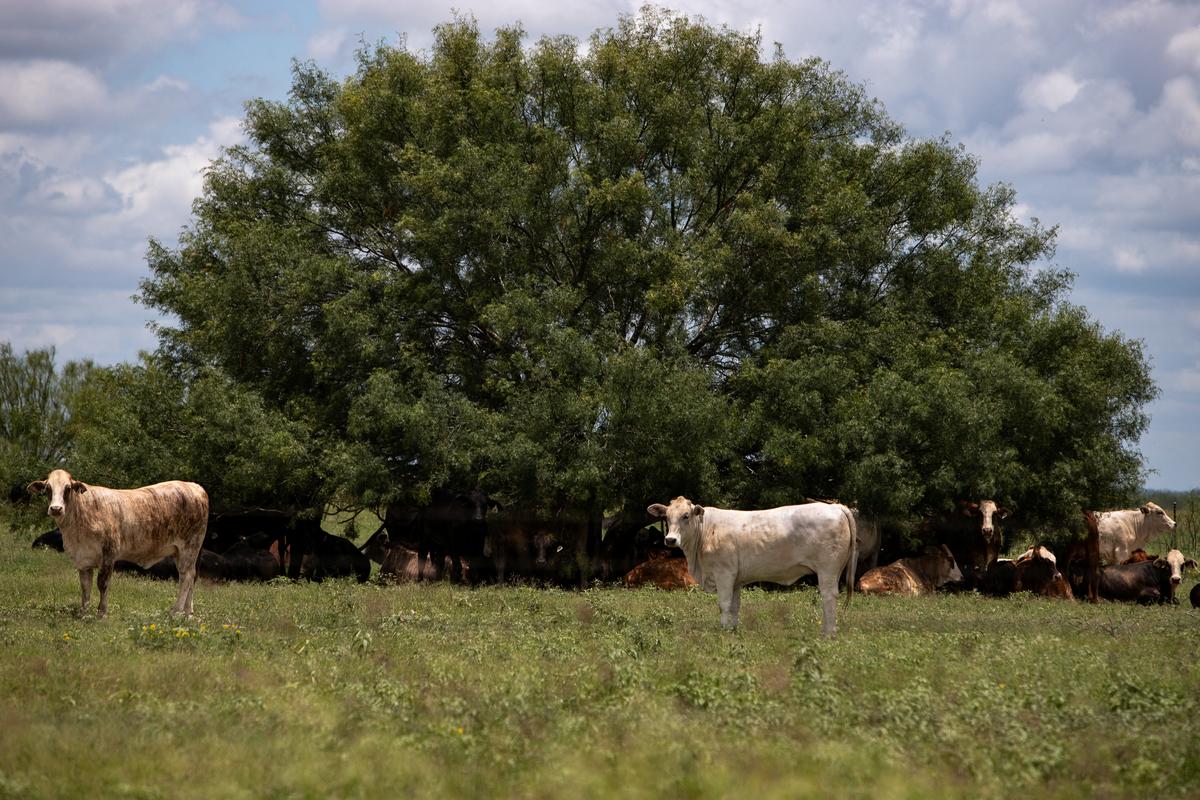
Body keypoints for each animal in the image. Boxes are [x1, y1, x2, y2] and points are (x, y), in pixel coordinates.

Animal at [27, 469, 208, 617]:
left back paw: (176, 612)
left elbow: (102, 583)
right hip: (180, 551)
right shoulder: (83, 560)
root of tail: (194, 486)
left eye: (68, 488)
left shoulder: (109, 554)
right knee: (190, 576)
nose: (56, 509)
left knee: (186, 577)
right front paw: (83, 613)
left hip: (189, 546)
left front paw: (101, 613)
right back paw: (187, 613)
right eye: (48, 488)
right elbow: (85, 587)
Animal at [646, 497, 857, 637]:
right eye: (666, 517)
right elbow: (734, 606)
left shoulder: (724, 573)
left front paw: (722, 631)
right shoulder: (735, 579)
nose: (670, 539)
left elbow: (723, 604)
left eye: (686, 516)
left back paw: (828, 634)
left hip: (827, 569)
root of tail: (835, 507)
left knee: (828, 597)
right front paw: (732, 629)